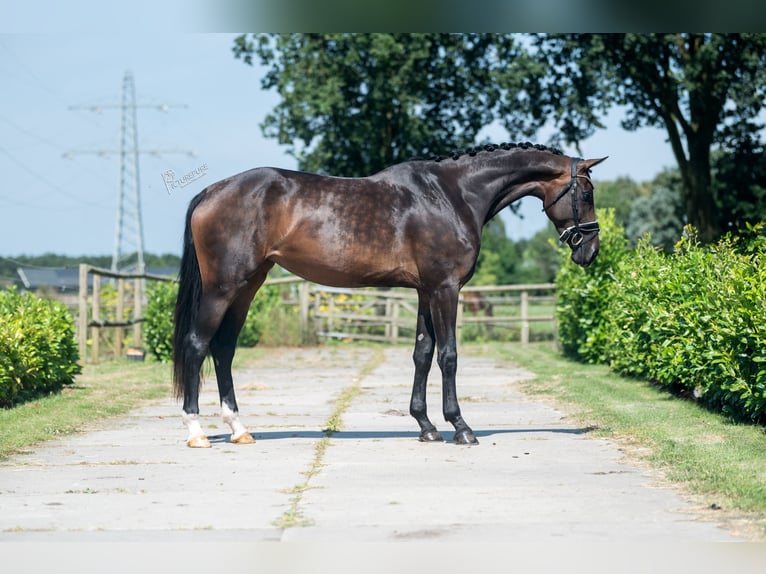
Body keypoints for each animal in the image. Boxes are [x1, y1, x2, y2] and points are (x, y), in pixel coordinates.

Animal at [172, 144, 608, 450]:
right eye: (586, 191)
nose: (590, 251)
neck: (453, 194)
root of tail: (211, 191)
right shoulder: (445, 289)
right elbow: (448, 355)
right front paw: (460, 427)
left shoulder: (425, 291)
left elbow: (423, 353)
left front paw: (426, 426)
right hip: (223, 288)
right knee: (196, 345)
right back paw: (196, 432)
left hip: (248, 287)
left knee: (223, 349)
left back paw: (239, 429)